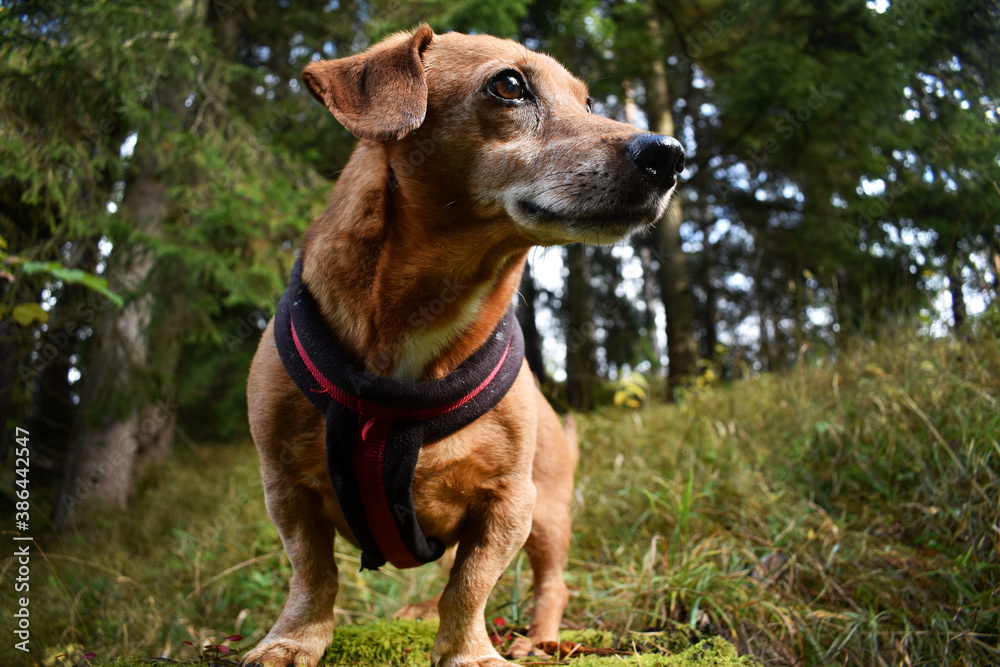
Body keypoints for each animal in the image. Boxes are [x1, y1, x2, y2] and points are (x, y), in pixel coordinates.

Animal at [240, 23, 688, 664]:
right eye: (509, 85)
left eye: (588, 103)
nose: (670, 155)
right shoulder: (286, 488)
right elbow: (313, 574)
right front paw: (292, 640)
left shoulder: (509, 503)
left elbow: (470, 585)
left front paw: (469, 652)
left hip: (548, 518)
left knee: (552, 584)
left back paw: (539, 638)